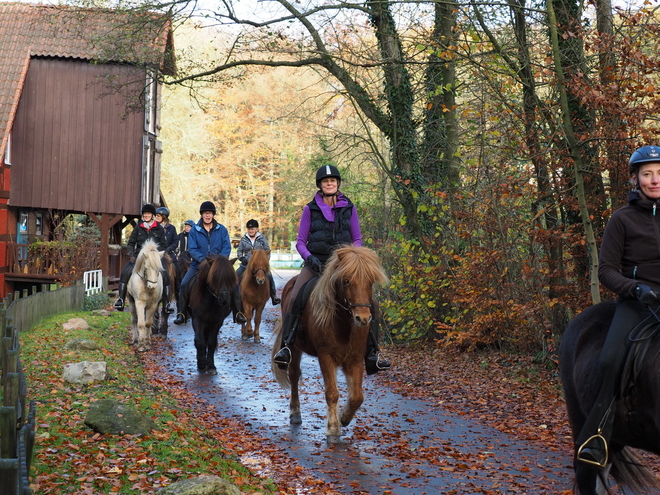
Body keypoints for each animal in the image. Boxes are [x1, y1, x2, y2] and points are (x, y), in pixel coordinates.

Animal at [270, 246, 390, 444]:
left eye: (370, 281)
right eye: (347, 281)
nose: (363, 318)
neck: (343, 323)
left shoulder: (355, 359)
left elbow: (357, 397)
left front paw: (344, 418)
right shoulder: (326, 356)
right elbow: (332, 393)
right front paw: (333, 428)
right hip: (294, 347)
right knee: (294, 376)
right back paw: (295, 413)